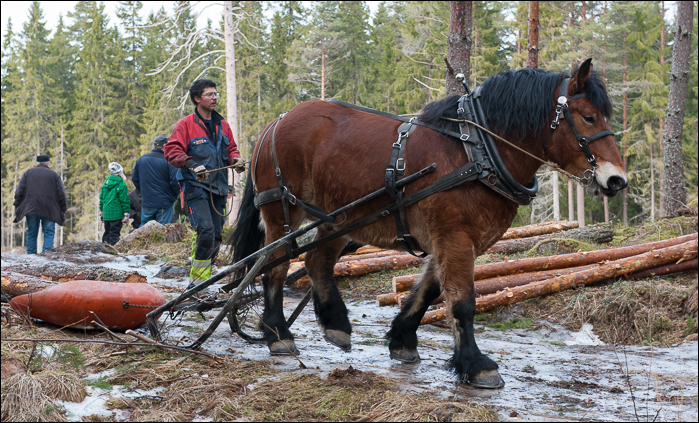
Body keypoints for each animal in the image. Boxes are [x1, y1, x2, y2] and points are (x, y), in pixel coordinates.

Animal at [231, 58, 628, 390]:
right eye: (588, 117)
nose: (617, 180)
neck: (476, 151)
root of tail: (276, 121)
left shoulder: (455, 239)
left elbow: (428, 291)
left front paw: (402, 339)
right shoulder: (455, 236)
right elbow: (462, 302)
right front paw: (476, 364)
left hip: (338, 218)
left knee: (316, 262)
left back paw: (336, 325)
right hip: (283, 212)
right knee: (275, 265)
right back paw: (277, 333)